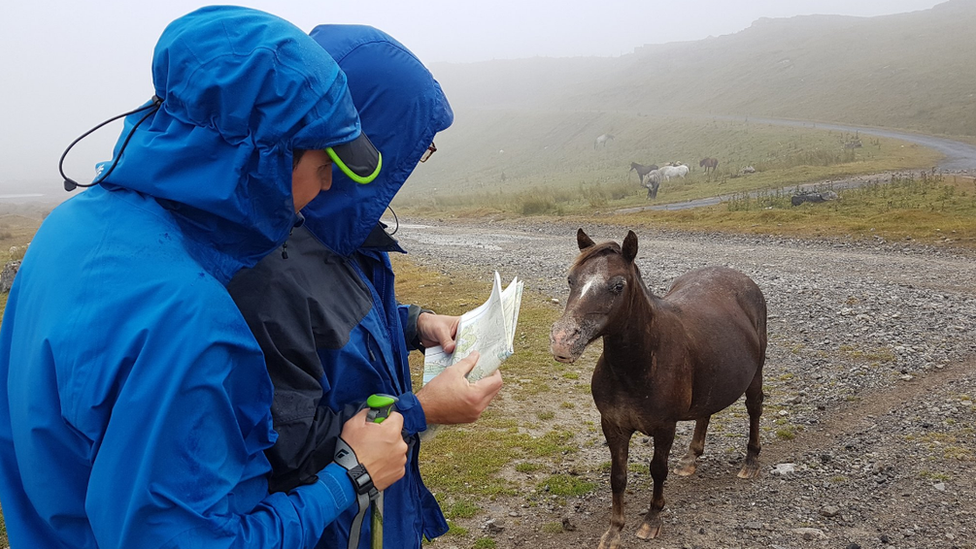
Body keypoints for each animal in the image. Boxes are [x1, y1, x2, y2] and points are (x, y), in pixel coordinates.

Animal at [548, 227, 772, 544]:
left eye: (618, 286)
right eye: (571, 280)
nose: (563, 341)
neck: (636, 368)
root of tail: (742, 279)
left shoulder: (665, 428)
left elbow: (657, 471)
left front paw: (651, 520)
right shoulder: (613, 426)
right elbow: (618, 477)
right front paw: (614, 529)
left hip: (755, 376)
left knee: (754, 409)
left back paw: (750, 461)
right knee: (706, 413)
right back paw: (691, 458)